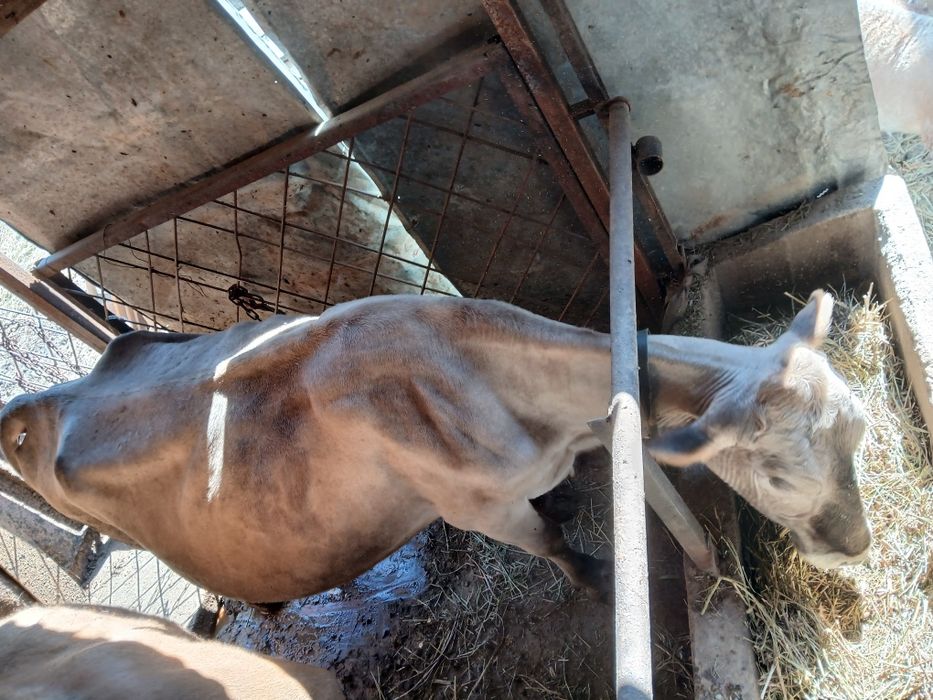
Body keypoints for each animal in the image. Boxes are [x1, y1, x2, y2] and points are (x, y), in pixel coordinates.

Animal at [0, 290, 871, 606]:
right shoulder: (481, 507)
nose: (856, 543)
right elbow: (550, 541)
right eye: (779, 475)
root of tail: (31, 406)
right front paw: (595, 577)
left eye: (861, 426)